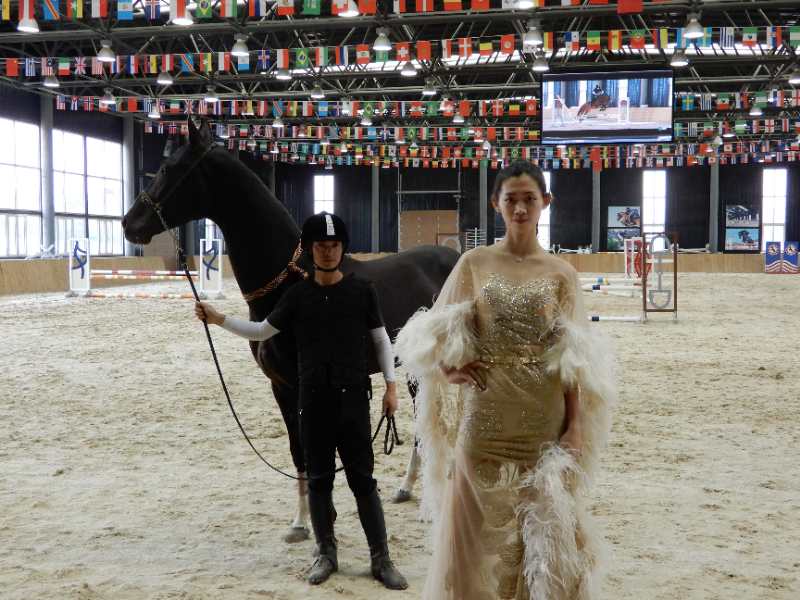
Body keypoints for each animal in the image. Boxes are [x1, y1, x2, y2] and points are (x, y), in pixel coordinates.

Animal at [122, 119, 457, 541]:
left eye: (167, 169)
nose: (128, 223)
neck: (291, 282)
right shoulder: (280, 386)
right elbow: (300, 454)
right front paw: (301, 523)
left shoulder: (303, 384)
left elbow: (315, 452)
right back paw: (407, 487)